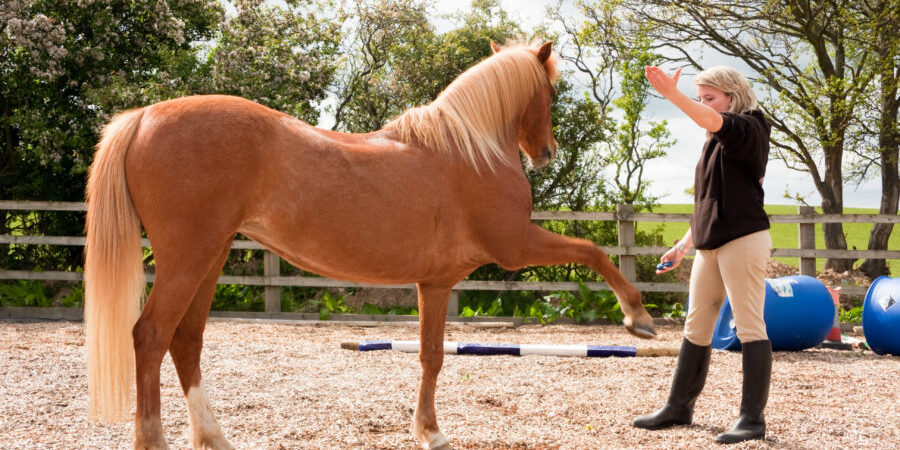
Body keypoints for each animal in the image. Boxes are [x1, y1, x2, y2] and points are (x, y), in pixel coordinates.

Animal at [84, 40, 656, 450]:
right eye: (550, 93)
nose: (546, 152)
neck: (468, 150)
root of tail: (144, 116)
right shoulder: (516, 245)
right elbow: (593, 251)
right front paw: (638, 318)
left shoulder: (436, 282)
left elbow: (430, 357)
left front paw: (429, 431)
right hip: (190, 259)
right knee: (150, 336)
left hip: (210, 257)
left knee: (186, 341)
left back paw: (214, 437)